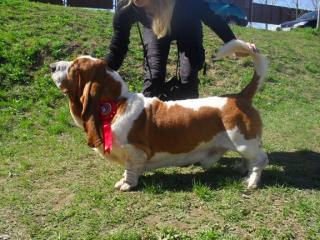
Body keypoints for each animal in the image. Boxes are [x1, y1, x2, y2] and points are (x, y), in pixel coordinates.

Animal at [50, 40, 268, 192]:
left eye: (74, 67)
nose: (52, 66)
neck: (117, 104)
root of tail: (239, 96)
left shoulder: (135, 152)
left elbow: (130, 169)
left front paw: (127, 184)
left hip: (243, 142)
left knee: (260, 160)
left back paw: (251, 181)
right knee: (250, 160)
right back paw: (242, 170)